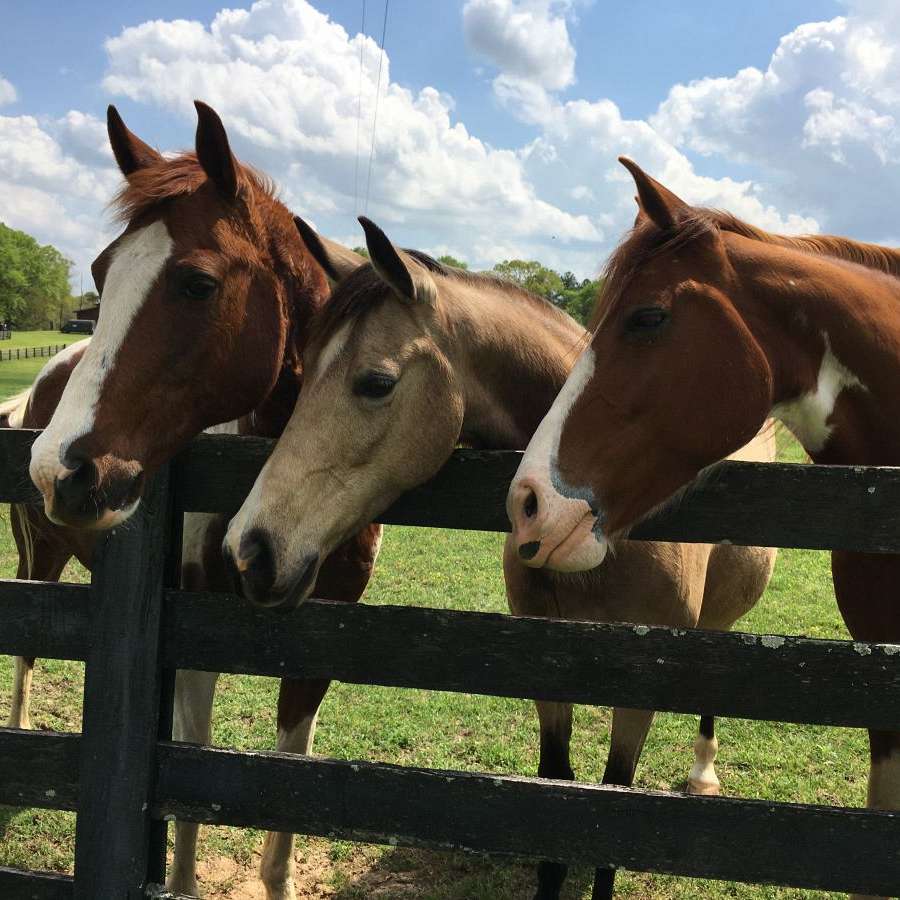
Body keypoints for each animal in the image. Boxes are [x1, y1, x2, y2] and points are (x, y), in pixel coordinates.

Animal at [11, 102, 384, 896]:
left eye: (197, 284)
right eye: (101, 272)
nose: (61, 470)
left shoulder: (320, 650)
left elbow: (287, 802)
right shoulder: (194, 652)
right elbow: (186, 799)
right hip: (41, 557)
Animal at [221, 218, 776, 900]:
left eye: (375, 383)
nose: (250, 549)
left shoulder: (639, 686)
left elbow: (617, 802)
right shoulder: (544, 665)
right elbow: (556, 787)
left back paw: (703, 774)